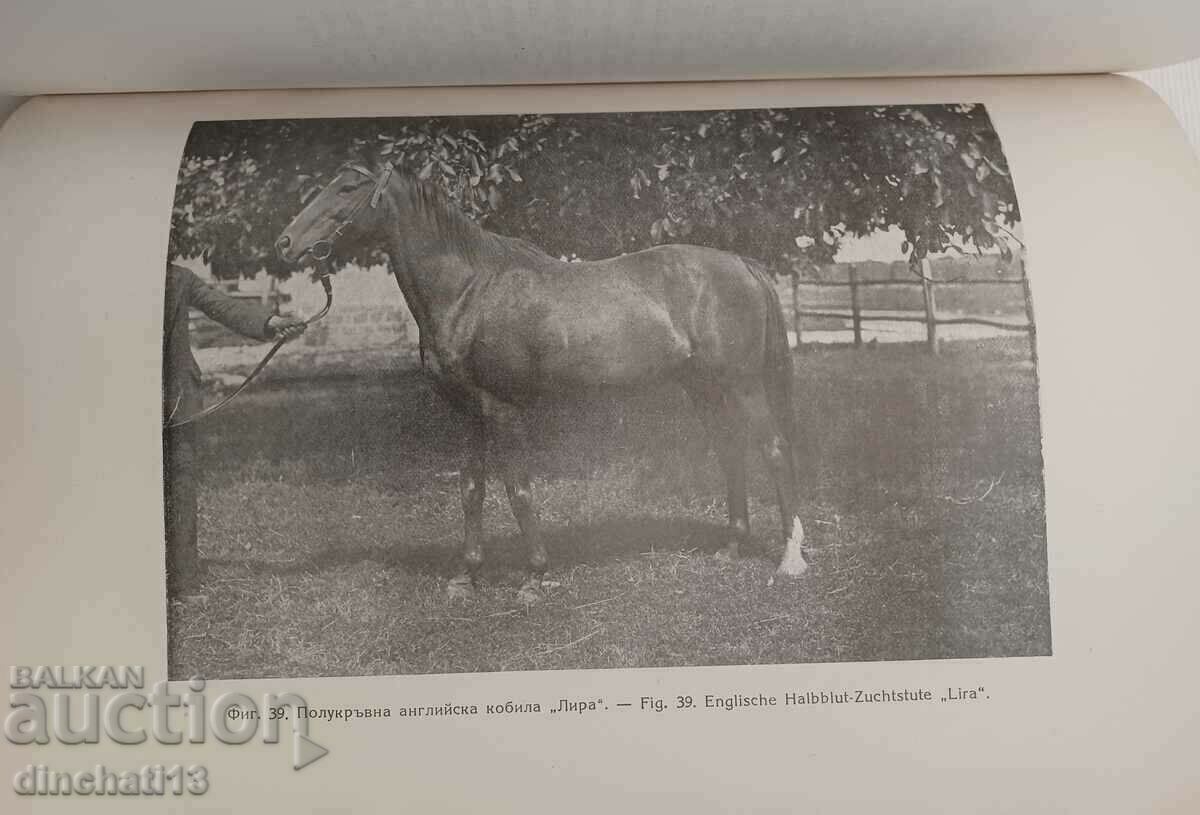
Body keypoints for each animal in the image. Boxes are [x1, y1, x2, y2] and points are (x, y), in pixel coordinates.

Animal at [276, 160, 809, 601]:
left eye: (347, 188)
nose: (285, 243)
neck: (469, 290)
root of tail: (742, 264)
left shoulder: (503, 409)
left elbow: (519, 489)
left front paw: (535, 576)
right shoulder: (466, 413)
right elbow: (471, 489)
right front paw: (467, 577)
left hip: (742, 385)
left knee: (776, 449)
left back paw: (791, 559)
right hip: (704, 388)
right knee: (731, 449)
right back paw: (732, 547)